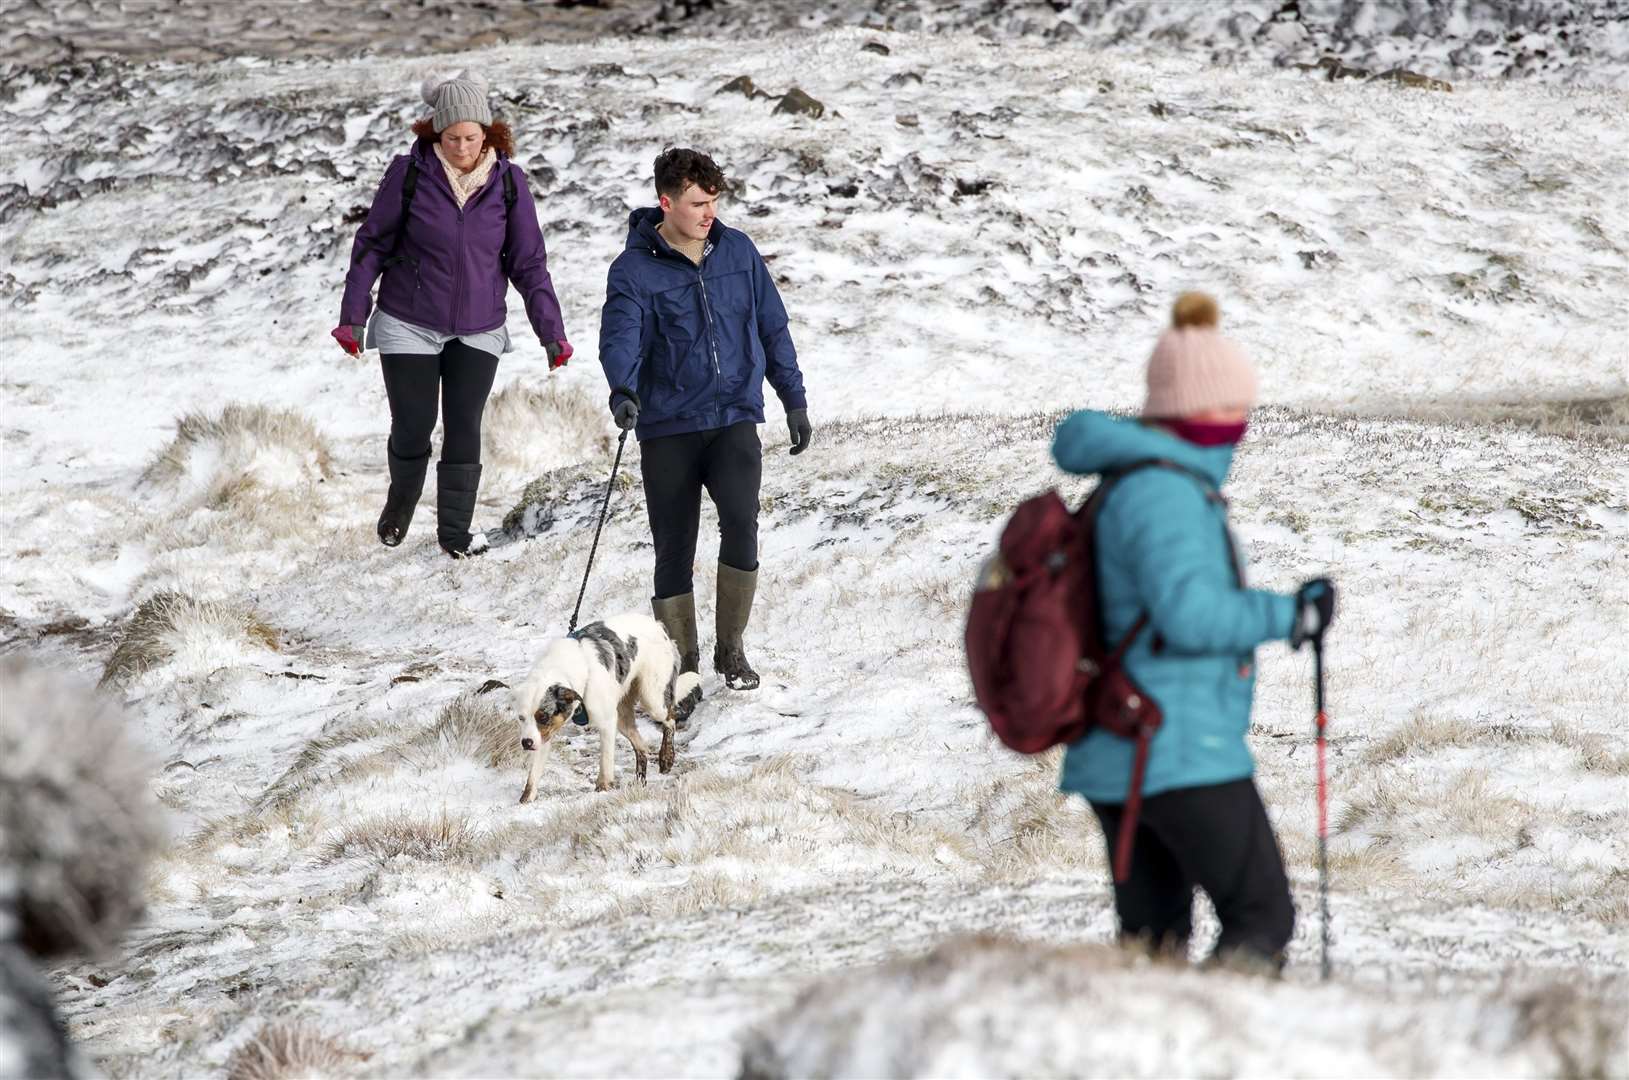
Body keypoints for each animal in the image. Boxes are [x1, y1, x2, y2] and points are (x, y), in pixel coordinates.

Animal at [508, 615, 700, 801]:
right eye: (521, 718)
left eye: (543, 717)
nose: (526, 743)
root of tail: (658, 625)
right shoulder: (543, 735)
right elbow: (533, 774)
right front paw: (526, 799)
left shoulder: (606, 723)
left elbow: (605, 761)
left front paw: (602, 788)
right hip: (623, 717)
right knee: (641, 746)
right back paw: (639, 782)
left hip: (652, 699)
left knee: (670, 719)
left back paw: (666, 758)